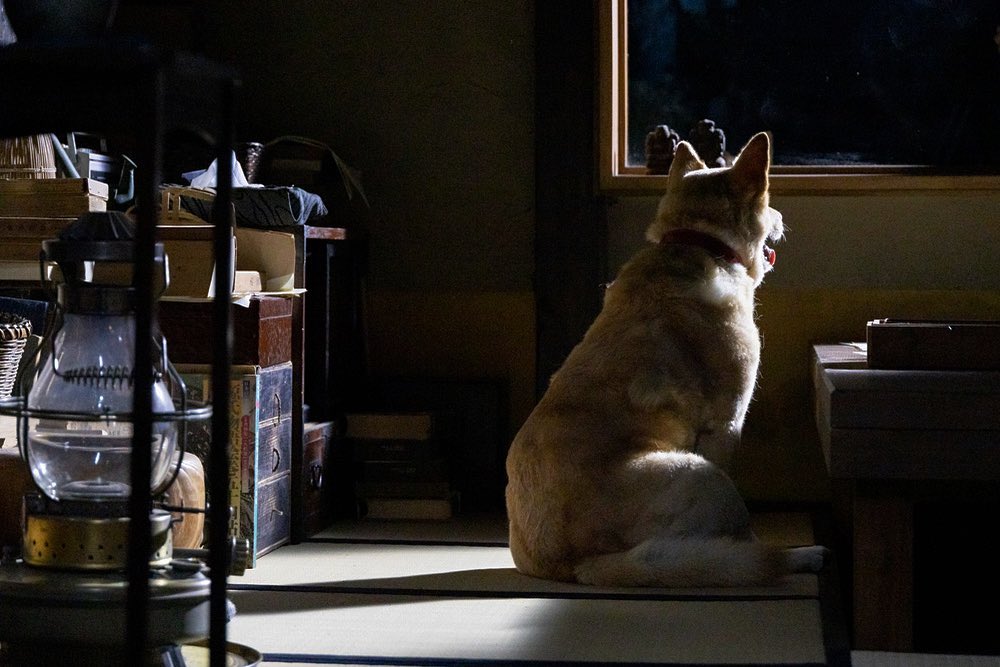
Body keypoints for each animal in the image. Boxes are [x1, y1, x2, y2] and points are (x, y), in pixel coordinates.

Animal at [505, 132, 825, 587]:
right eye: (769, 207)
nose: (782, 216)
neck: (700, 243)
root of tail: (575, 564)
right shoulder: (726, 424)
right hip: (703, 475)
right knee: (729, 547)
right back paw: (796, 556)